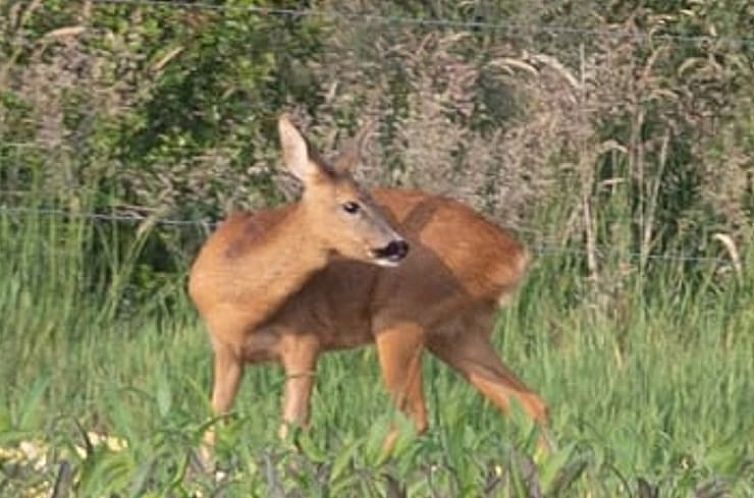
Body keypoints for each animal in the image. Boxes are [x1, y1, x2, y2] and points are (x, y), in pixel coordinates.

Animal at [188, 114, 548, 460]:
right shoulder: (226, 350)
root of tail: (513, 254)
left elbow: (292, 429)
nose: (398, 245)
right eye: (351, 205)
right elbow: (212, 428)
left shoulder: (305, 339)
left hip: (401, 316)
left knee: (413, 417)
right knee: (529, 404)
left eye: (372, 199)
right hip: (455, 332)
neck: (241, 301)